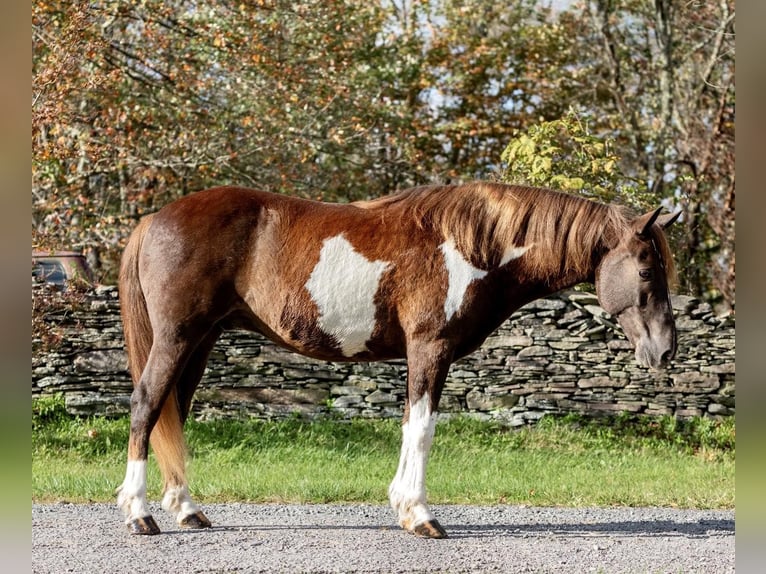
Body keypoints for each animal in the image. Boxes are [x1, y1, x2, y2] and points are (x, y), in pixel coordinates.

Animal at [114, 183, 680, 540]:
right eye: (646, 270)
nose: (666, 349)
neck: (475, 247)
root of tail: (154, 219)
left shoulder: (425, 355)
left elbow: (411, 424)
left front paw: (405, 508)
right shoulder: (429, 348)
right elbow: (423, 428)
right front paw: (420, 514)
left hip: (199, 343)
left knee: (172, 412)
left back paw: (186, 509)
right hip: (176, 339)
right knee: (146, 406)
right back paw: (139, 514)